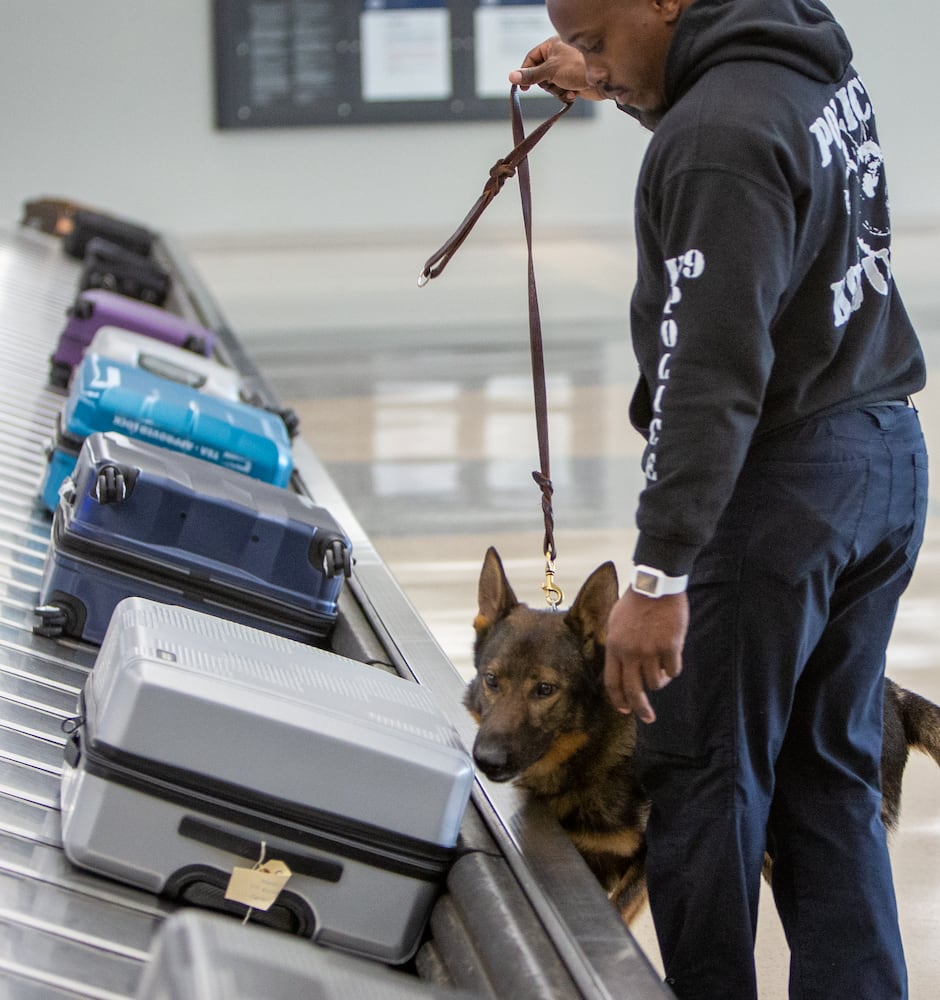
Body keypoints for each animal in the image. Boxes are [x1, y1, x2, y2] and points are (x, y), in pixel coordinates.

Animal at [466, 552, 940, 924]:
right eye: (491, 681)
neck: (593, 750)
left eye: (545, 690)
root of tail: (892, 691)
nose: (486, 759)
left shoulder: (647, 868)